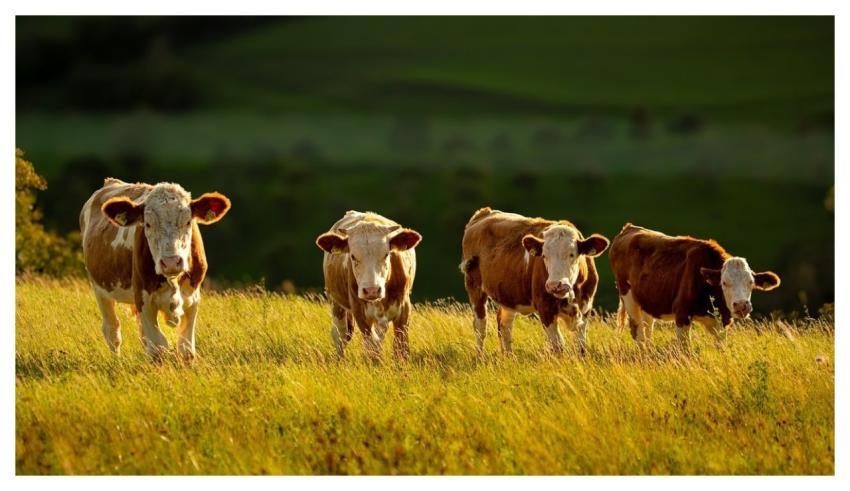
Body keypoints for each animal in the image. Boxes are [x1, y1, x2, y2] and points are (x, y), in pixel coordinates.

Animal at [80, 178, 231, 361]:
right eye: (148, 224)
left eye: (188, 222)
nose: (171, 262)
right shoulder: (144, 300)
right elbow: (159, 348)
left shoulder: (193, 299)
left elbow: (186, 349)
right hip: (99, 289)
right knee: (112, 330)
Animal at [315, 211, 422, 360]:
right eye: (353, 256)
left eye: (386, 254)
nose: (372, 290)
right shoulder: (360, 312)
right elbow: (372, 348)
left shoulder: (404, 309)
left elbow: (400, 348)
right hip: (336, 303)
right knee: (340, 335)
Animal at [460, 207, 610, 355]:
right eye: (544, 256)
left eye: (572, 254)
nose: (555, 285)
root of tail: (485, 212)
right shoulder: (545, 308)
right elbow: (557, 345)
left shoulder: (586, 307)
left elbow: (580, 346)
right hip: (474, 285)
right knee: (480, 326)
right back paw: (480, 356)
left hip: (509, 295)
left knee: (504, 325)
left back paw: (509, 356)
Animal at [609, 223, 781, 349]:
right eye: (724, 282)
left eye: (750, 282)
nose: (741, 305)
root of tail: (629, 228)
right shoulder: (682, 314)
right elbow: (685, 349)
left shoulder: (723, 323)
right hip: (627, 295)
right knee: (637, 329)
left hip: (647, 300)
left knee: (647, 325)